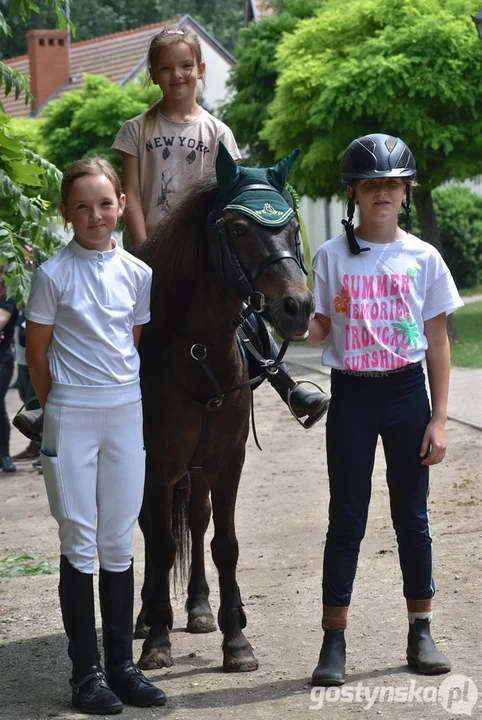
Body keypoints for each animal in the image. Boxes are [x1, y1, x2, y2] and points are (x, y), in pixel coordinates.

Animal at [135, 166, 312, 672]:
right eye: (238, 230)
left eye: (292, 229)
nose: (297, 306)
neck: (198, 350)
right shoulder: (154, 465)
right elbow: (160, 544)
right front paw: (157, 642)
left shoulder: (227, 461)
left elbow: (224, 545)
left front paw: (236, 641)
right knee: (153, 531)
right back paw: (148, 616)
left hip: (197, 470)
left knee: (197, 521)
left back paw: (197, 608)